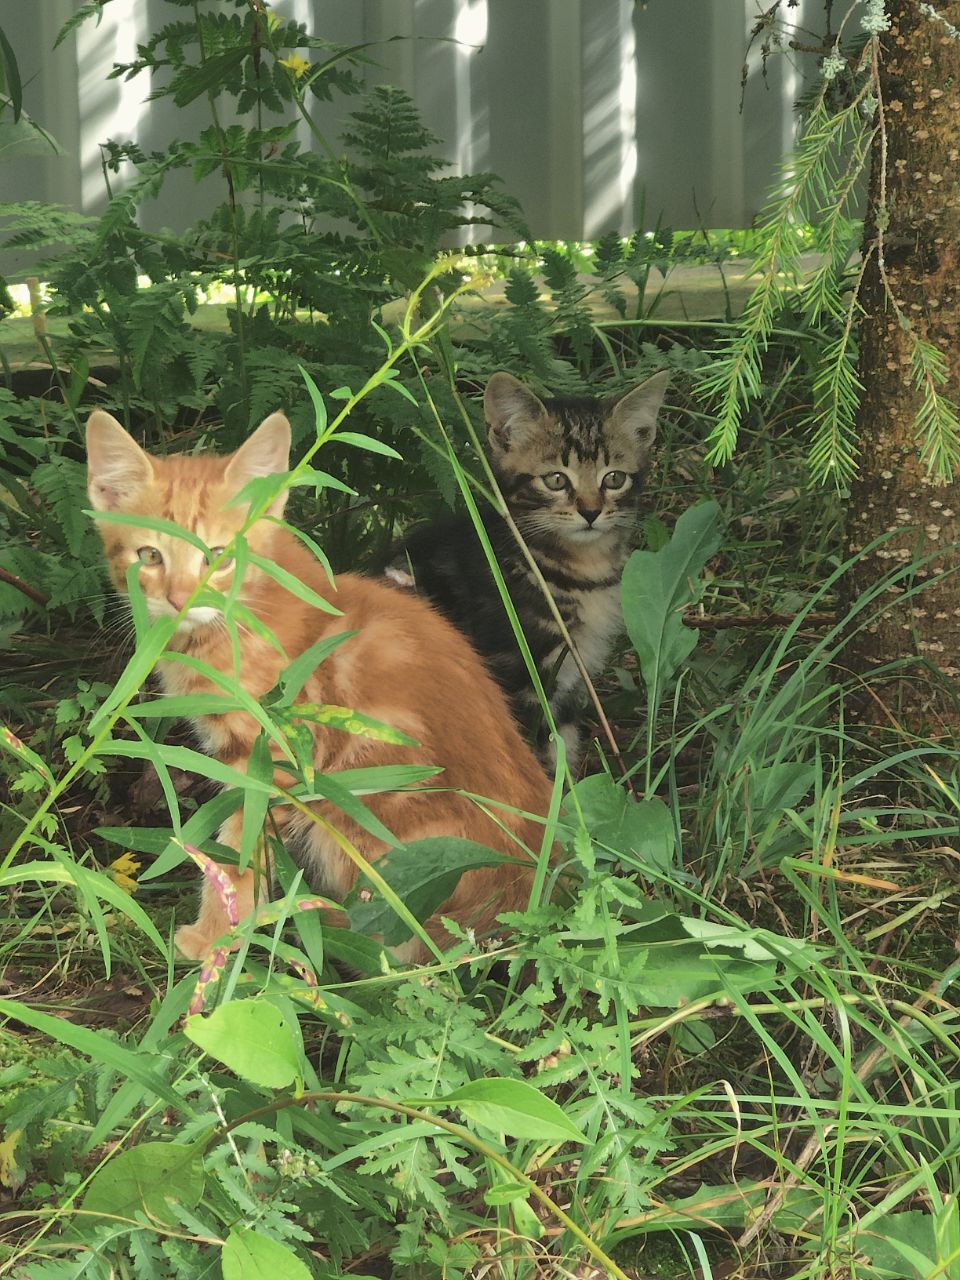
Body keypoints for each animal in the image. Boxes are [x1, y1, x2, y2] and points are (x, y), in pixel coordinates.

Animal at [88, 409, 555, 962]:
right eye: (150, 555)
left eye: (219, 556)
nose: (181, 598)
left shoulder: (269, 762)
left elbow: (239, 851)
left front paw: (214, 938)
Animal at [391, 371, 670, 768]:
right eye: (555, 479)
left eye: (614, 478)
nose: (590, 512)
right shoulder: (516, 676)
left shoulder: (569, 680)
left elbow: (562, 749)